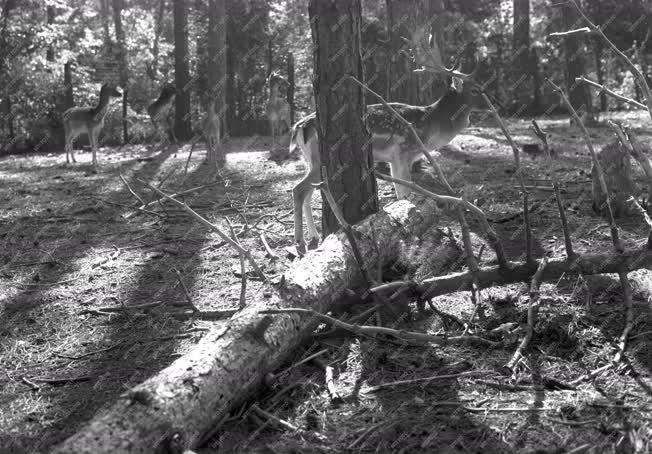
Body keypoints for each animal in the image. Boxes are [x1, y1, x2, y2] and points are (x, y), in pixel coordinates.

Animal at [288, 28, 482, 250]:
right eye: (475, 90)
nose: (490, 101)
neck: (431, 128)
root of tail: (299, 126)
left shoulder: (395, 159)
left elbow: (401, 193)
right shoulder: (403, 152)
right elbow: (405, 192)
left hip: (309, 160)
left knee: (308, 193)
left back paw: (313, 237)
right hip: (318, 159)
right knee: (298, 190)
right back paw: (300, 241)